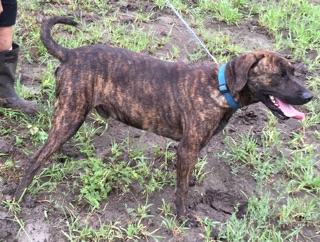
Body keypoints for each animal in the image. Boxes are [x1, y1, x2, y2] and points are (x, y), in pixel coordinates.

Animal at [13, 17, 312, 217]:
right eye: (280, 75)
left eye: (293, 71)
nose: (309, 95)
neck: (221, 87)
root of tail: (71, 53)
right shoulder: (187, 148)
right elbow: (181, 191)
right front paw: (182, 216)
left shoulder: (193, 148)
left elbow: (186, 178)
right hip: (71, 113)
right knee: (37, 157)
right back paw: (18, 196)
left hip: (70, 114)